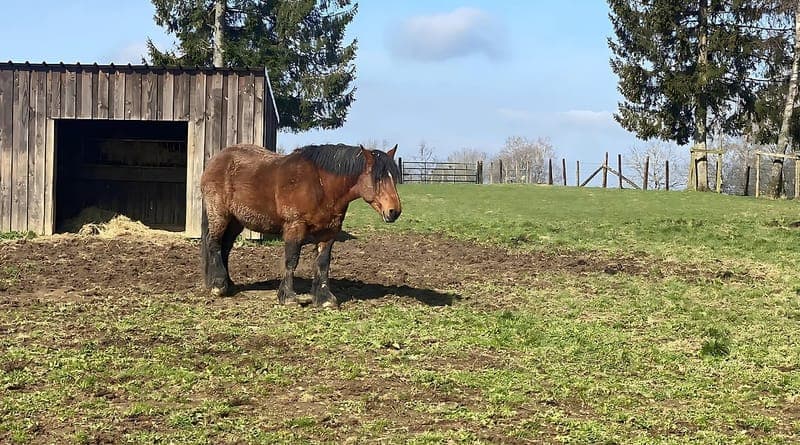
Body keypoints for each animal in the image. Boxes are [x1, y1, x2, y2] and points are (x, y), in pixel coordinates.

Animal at [199, 143, 402, 308]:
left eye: (393, 177)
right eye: (378, 178)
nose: (394, 211)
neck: (321, 184)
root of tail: (215, 161)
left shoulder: (329, 232)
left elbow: (322, 263)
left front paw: (324, 299)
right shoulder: (295, 227)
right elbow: (291, 260)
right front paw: (289, 297)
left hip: (236, 221)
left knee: (225, 247)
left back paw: (228, 283)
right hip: (219, 215)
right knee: (214, 243)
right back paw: (218, 285)